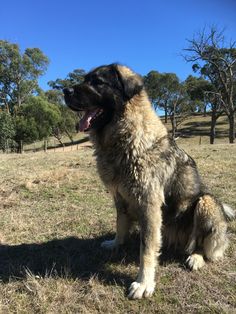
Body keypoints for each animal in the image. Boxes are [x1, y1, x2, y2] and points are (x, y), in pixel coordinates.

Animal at [63, 63, 235, 300]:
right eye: (86, 79)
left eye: (97, 82)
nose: (65, 91)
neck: (126, 137)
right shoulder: (120, 197)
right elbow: (121, 224)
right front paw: (116, 243)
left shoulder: (149, 204)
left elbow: (146, 249)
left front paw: (143, 282)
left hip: (205, 202)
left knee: (204, 246)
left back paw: (196, 257)